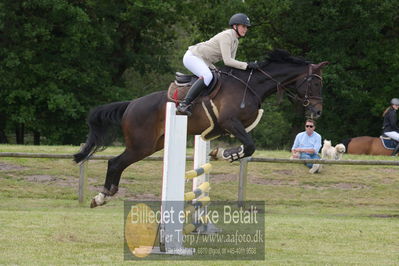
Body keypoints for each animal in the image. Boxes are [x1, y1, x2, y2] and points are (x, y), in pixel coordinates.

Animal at [73, 50, 330, 208]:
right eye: (315, 83)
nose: (317, 112)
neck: (252, 86)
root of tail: (131, 105)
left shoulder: (228, 128)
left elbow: (246, 146)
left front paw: (220, 153)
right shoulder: (231, 123)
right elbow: (249, 146)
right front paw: (228, 154)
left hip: (152, 145)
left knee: (118, 163)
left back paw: (103, 196)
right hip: (140, 145)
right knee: (115, 163)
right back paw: (101, 197)